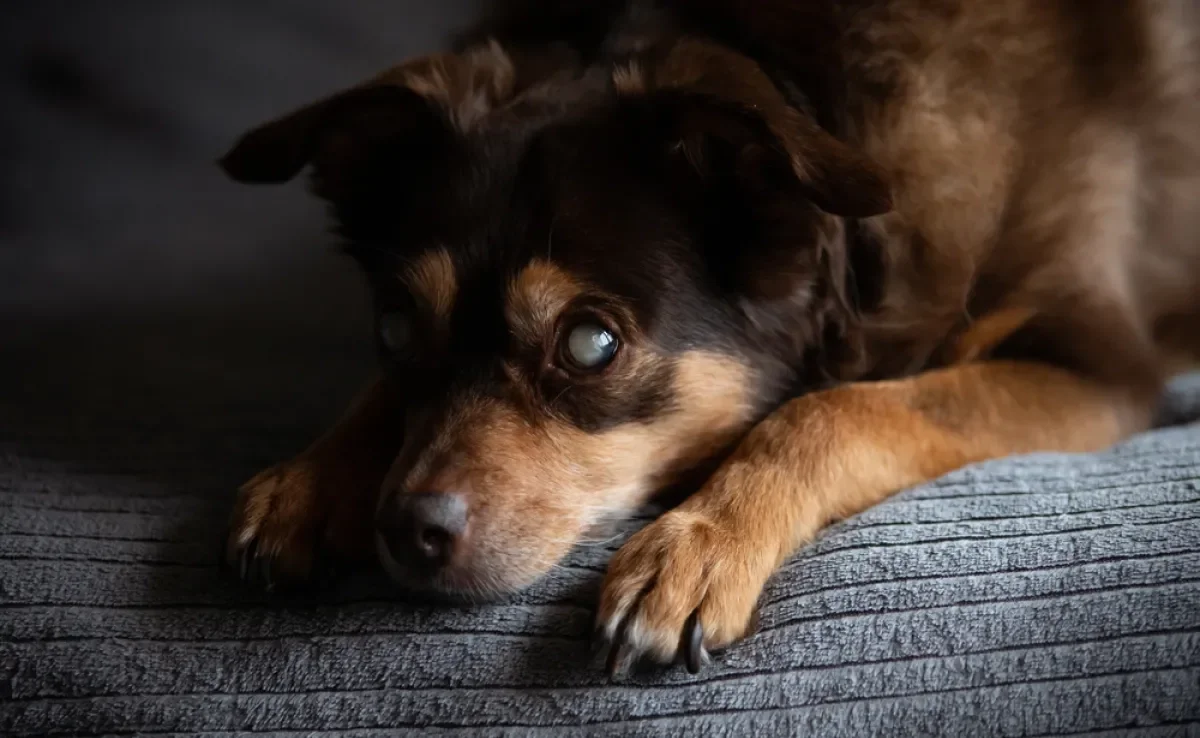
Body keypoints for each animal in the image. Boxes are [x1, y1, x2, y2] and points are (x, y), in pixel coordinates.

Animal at [218, 0, 1200, 676]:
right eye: (393, 328)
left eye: (590, 345)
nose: (404, 527)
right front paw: (312, 479)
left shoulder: (1097, 363)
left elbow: (836, 409)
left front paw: (701, 543)